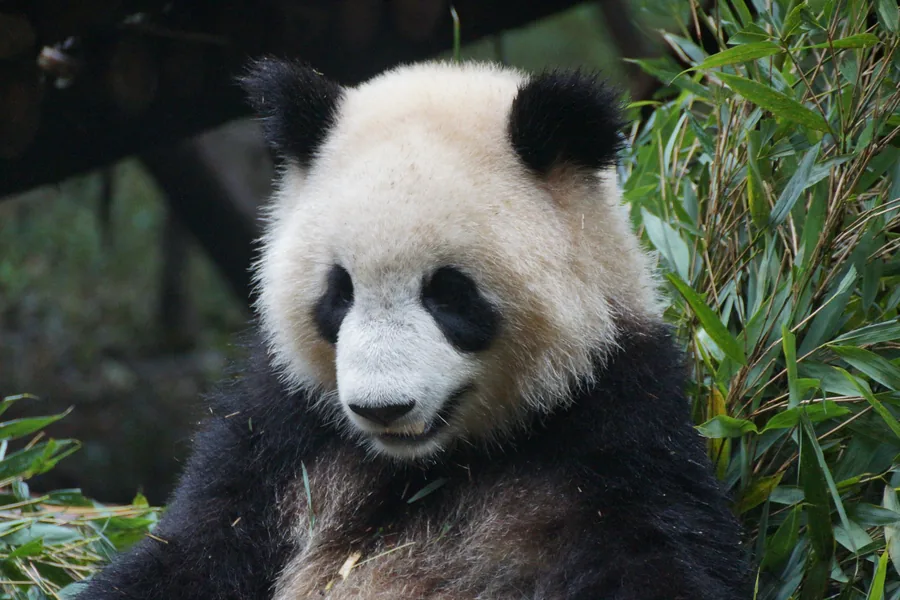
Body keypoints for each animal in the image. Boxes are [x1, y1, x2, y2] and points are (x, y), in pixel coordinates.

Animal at [77, 59, 749, 599]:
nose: (383, 408)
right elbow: (192, 551)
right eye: (339, 292)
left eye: (449, 293)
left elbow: (656, 554)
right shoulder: (280, 435)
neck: (426, 465)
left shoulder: (614, 423)